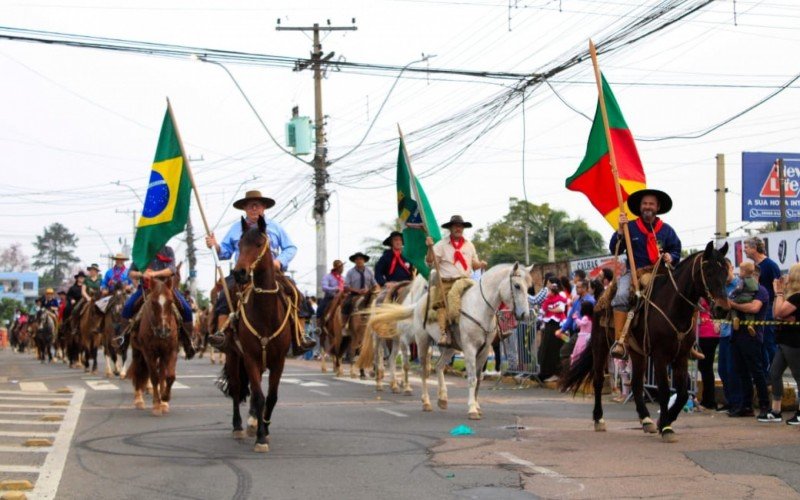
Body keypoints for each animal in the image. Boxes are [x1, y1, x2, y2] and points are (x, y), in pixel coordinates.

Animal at [127, 280, 180, 416]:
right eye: (153, 302)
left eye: (171, 301)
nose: (164, 330)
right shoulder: (148, 353)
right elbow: (154, 377)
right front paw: (156, 405)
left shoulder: (171, 351)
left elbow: (169, 376)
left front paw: (165, 398)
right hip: (137, 352)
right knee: (138, 371)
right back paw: (139, 400)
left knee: (161, 374)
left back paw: (163, 403)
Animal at [217, 216, 292, 454]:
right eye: (239, 245)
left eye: (259, 244)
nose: (240, 273)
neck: (266, 313)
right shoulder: (249, 357)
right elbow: (258, 397)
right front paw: (260, 438)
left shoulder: (278, 360)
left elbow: (272, 397)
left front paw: (264, 428)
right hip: (233, 356)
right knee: (236, 388)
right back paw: (239, 427)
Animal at [368, 264, 532, 420]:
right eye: (517, 286)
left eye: (529, 287)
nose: (525, 315)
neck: (479, 308)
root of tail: (419, 303)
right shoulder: (470, 349)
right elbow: (472, 379)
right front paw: (472, 409)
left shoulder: (484, 351)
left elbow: (479, 379)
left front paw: (477, 406)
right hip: (420, 341)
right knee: (422, 371)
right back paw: (425, 402)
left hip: (449, 347)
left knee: (438, 366)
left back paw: (442, 399)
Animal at [560, 241, 728, 442]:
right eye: (709, 272)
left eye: (726, 272)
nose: (723, 309)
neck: (673, 306)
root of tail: (601, 297)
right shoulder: (660, 356)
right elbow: (664, 390)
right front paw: (666, 427)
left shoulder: (681, 356)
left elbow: (681, 393)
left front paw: (663, 421)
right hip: (600, 346)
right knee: (599, 380)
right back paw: (599, 419)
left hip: (637, 353)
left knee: (636, 384)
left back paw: (646, 419)